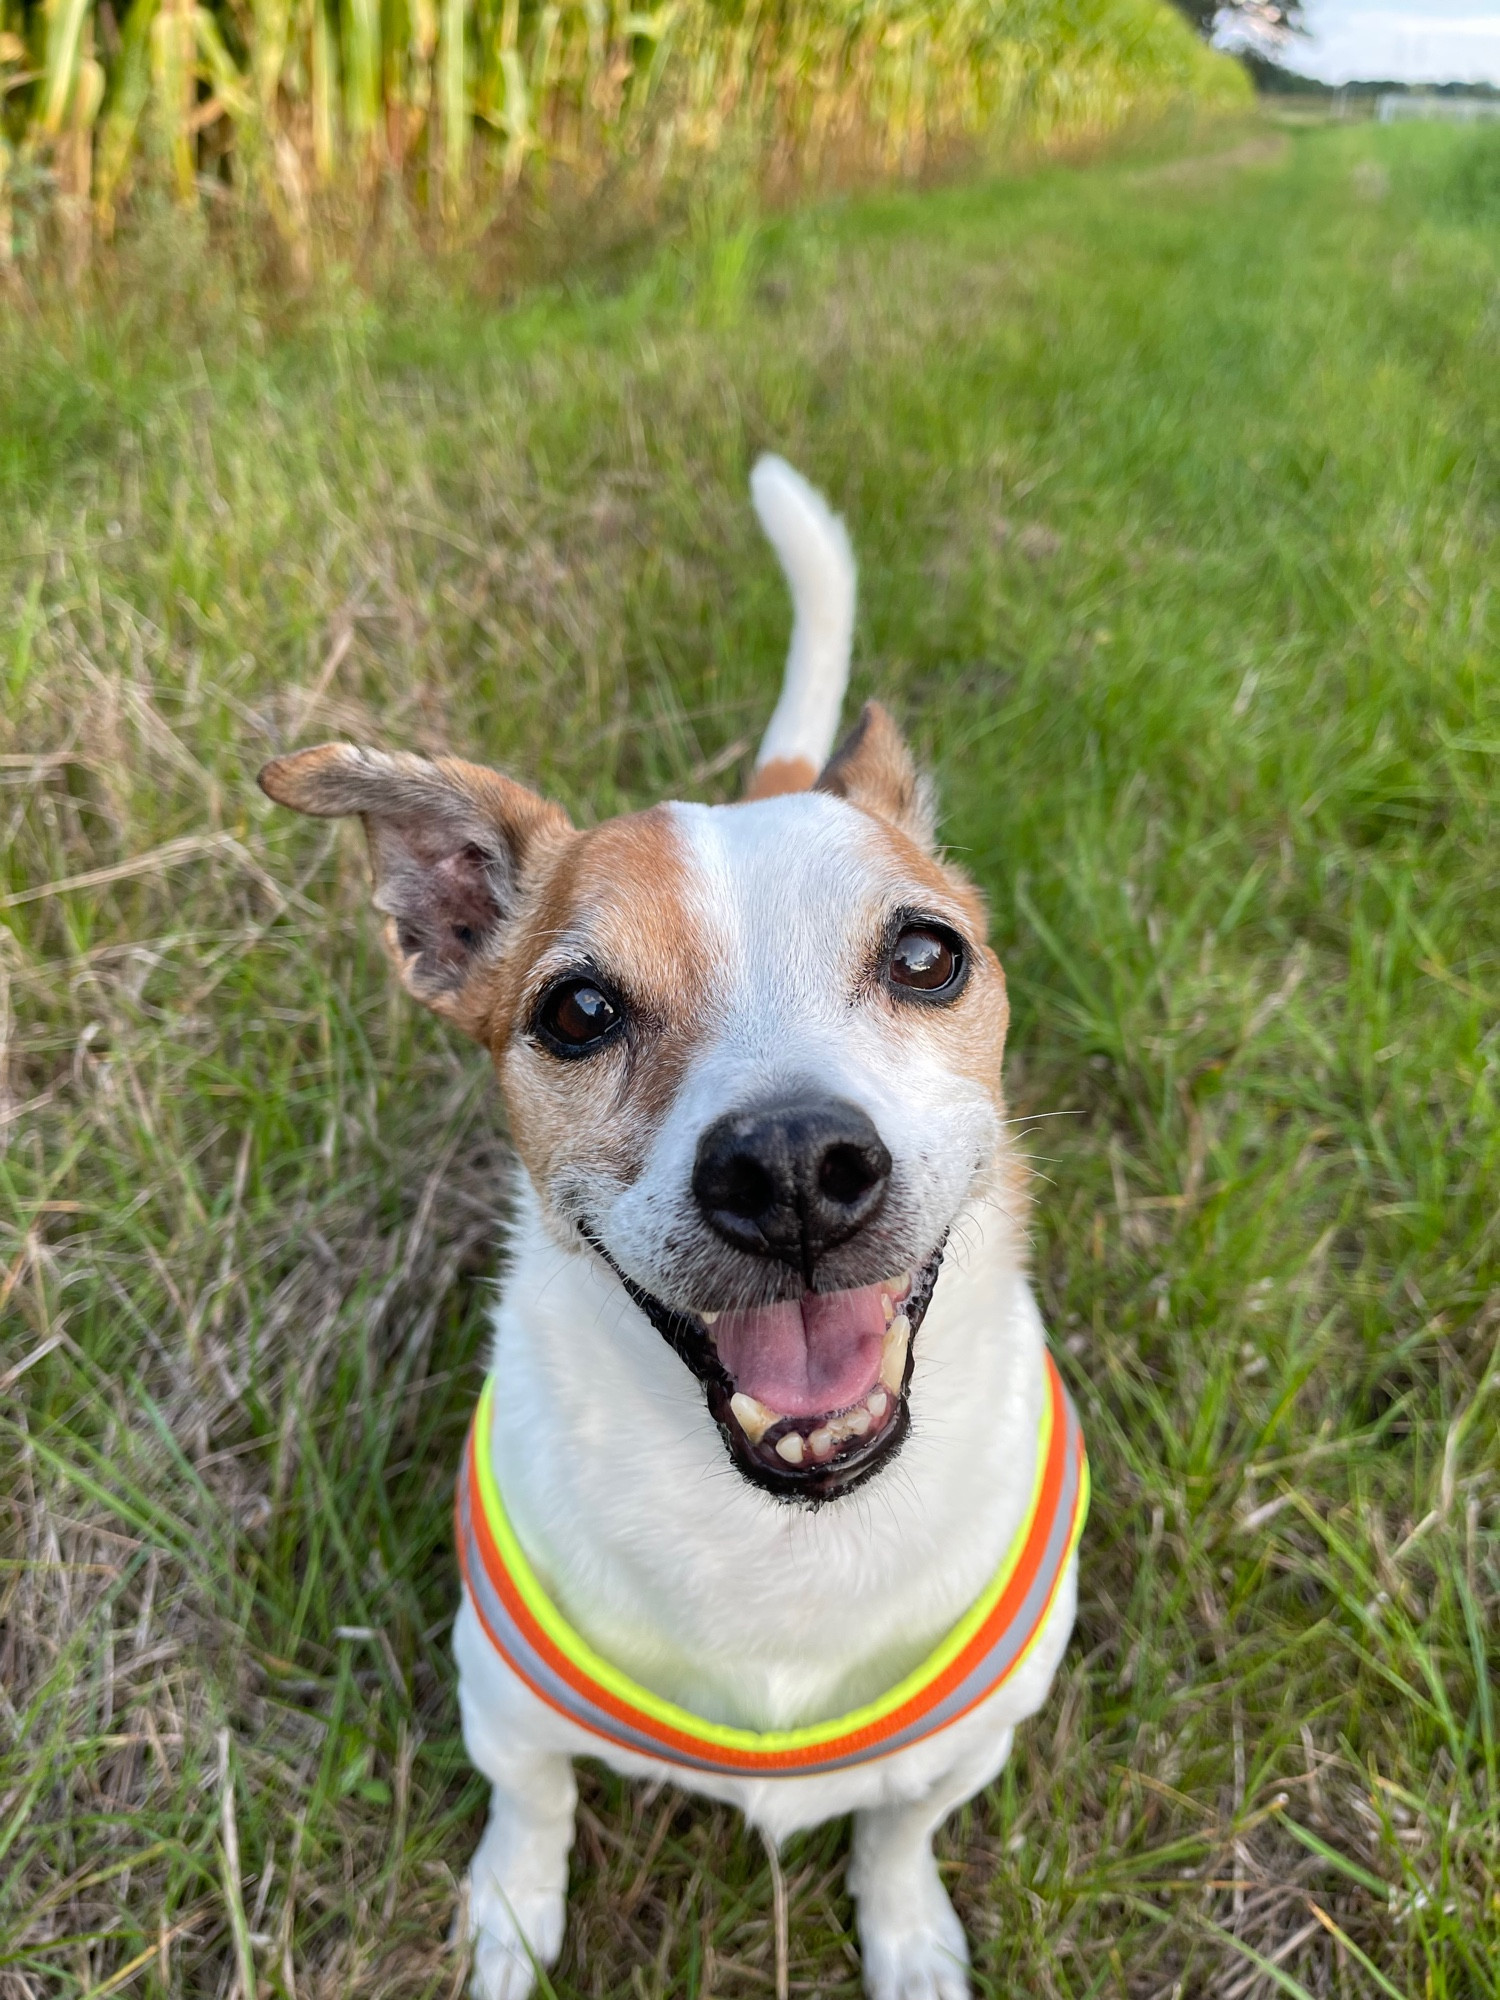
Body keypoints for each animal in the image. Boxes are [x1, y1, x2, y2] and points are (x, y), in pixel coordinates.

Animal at [262, 458, 1096, 2000]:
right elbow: (533, 1809)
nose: (793, 1168)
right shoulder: (502, 1701)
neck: (777, 1535)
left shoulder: (969, 1742)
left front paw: (908, 1934)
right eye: (577, 1010)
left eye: (927, 953)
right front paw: (511, 1918)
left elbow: (899, 1829)